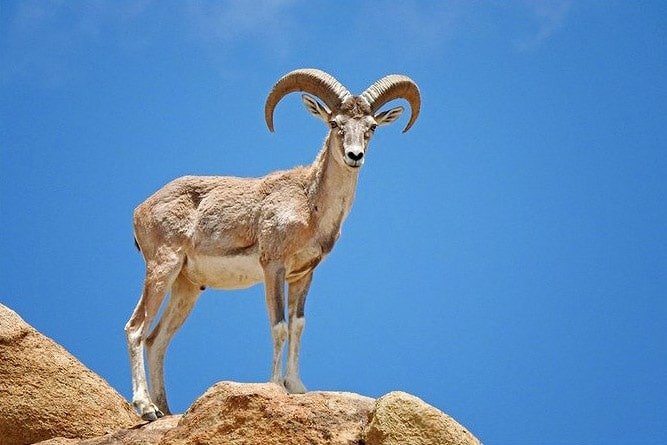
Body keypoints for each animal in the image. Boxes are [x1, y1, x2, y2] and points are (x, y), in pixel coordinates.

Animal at [125, 69, 421, 420]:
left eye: (371, 127)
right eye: (335, 123)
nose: (354, 156)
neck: (310, 204)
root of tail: (141, 210)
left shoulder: (303, 275)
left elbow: (298, 325)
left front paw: (296, 386)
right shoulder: (273, 268)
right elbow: (279, 325)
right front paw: (276, 385)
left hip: (187, 286)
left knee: (157, 341)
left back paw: (167, 411)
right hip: (163, 267)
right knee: (136, 329)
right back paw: (146, 408)